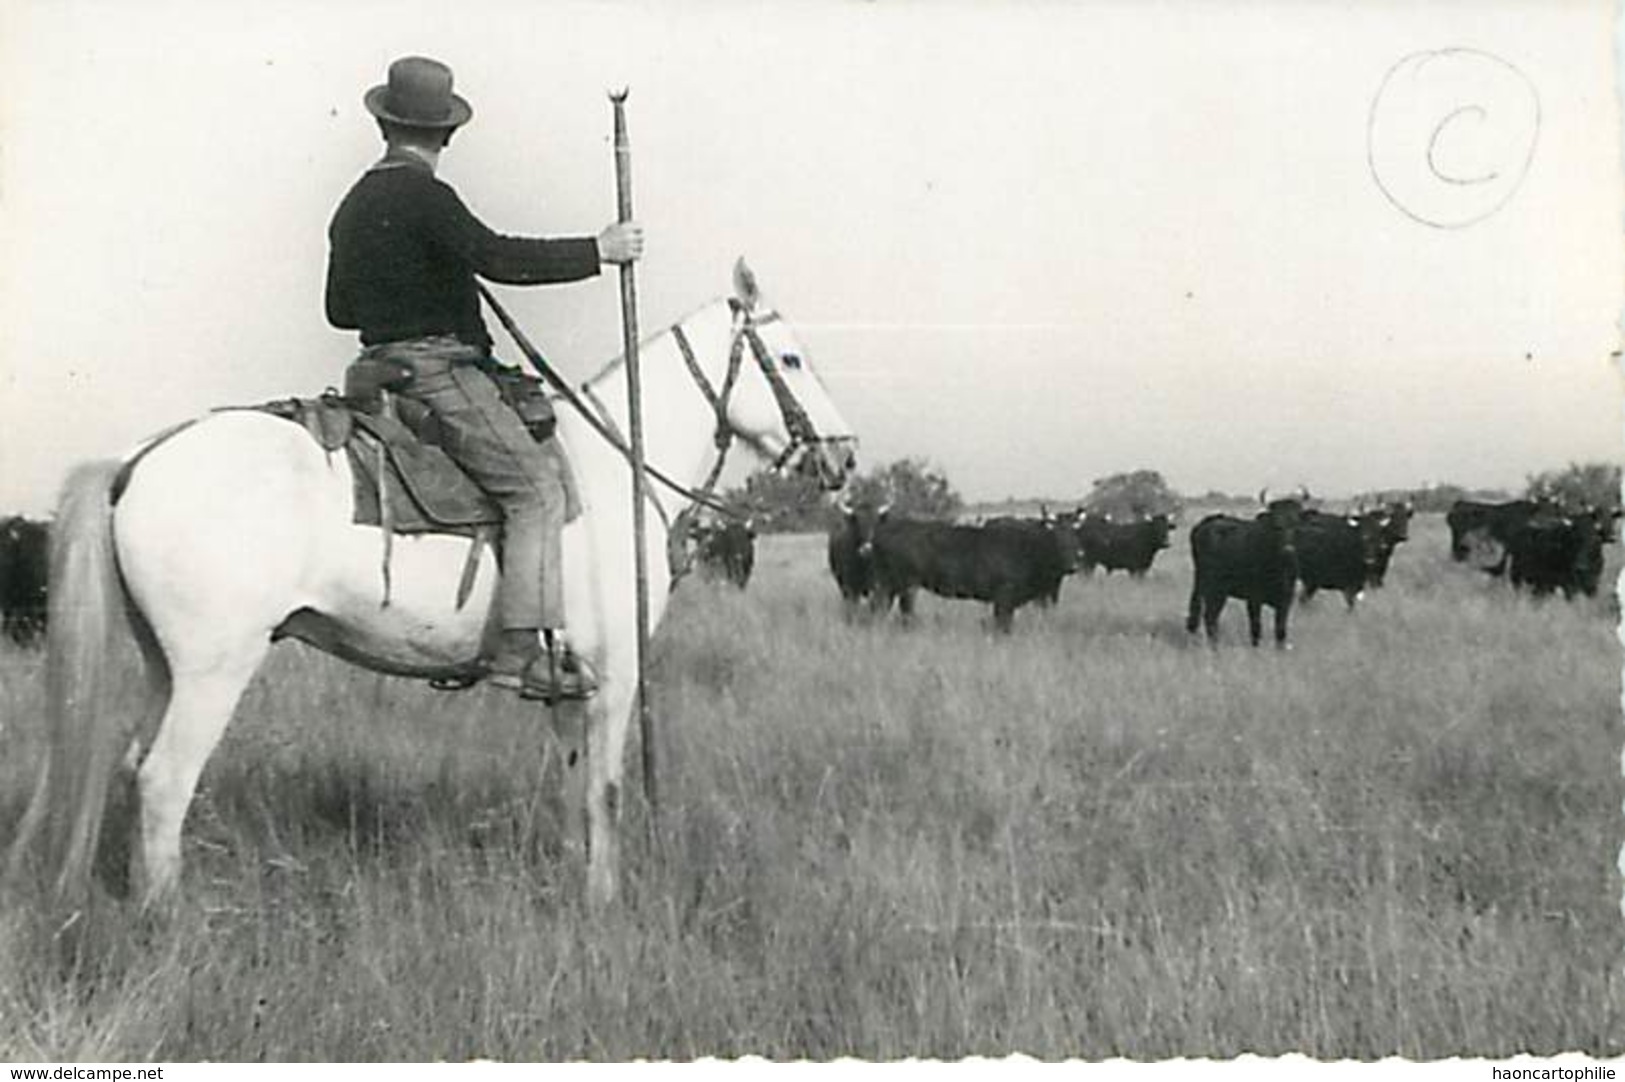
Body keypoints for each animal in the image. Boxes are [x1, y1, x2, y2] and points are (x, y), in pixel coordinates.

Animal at [3, 261, 864, 909]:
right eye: (790, 359)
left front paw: (574, 885)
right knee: (163, 781)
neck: (618, 468)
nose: (844, 456)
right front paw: (606, 902)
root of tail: (136, 458)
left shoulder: (568, 686)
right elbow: (608, 789)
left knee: (131, 767)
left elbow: (572, 789)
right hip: (216, 670)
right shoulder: (615, 677)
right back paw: (169, 921)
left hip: (165, 666)